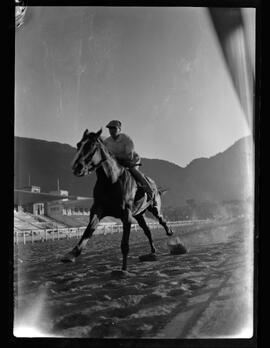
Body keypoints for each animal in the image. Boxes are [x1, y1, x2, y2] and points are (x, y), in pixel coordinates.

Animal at [61, 128, 175, 272]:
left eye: (91, 146)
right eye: (78, 144)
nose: (77, 167)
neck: (111, 180)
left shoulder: (126, 214)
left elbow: (124, 244)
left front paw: (124, 269)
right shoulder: (98, 209)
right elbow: (88, 231)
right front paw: (71, 254)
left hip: (154, 208)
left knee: (162, 220)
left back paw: (170, 232)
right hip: (139, 215)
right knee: (147, 230)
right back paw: (153, 251)